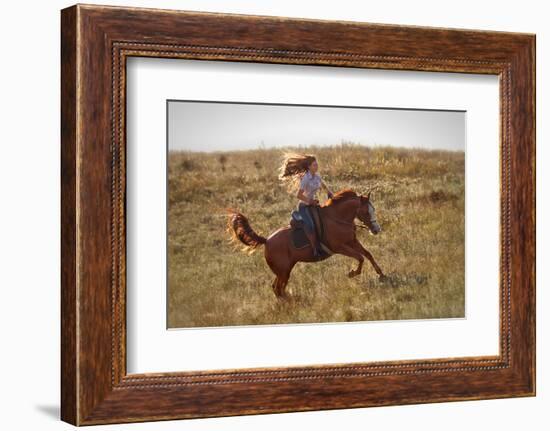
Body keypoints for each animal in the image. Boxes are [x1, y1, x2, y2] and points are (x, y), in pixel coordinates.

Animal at [226, 191, 386, 298]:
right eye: (367, 211)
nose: (376, 229)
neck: (337, 218)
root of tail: (266, 241)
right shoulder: (339, 247)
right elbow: (360, 258)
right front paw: (352, 273)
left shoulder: (352, 241)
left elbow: (367, 254)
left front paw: (381, 274)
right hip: (283, 271)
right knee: (278, 288)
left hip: (284, 270)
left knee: (277, 288)